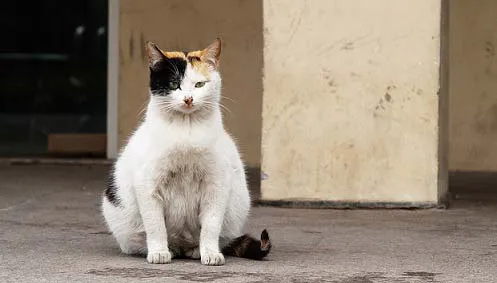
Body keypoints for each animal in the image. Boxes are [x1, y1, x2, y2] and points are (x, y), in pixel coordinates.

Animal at [101, 38, 272, 266]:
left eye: (199, 85)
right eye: (174, 84)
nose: (188, 99)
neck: (186, 130)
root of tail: (182, 245)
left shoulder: (216, 185)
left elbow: (211, 226)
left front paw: (210, 253)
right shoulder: (148, 185)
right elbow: (155, 226)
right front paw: (159, 252)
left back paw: (196, 250)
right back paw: (170, 249)